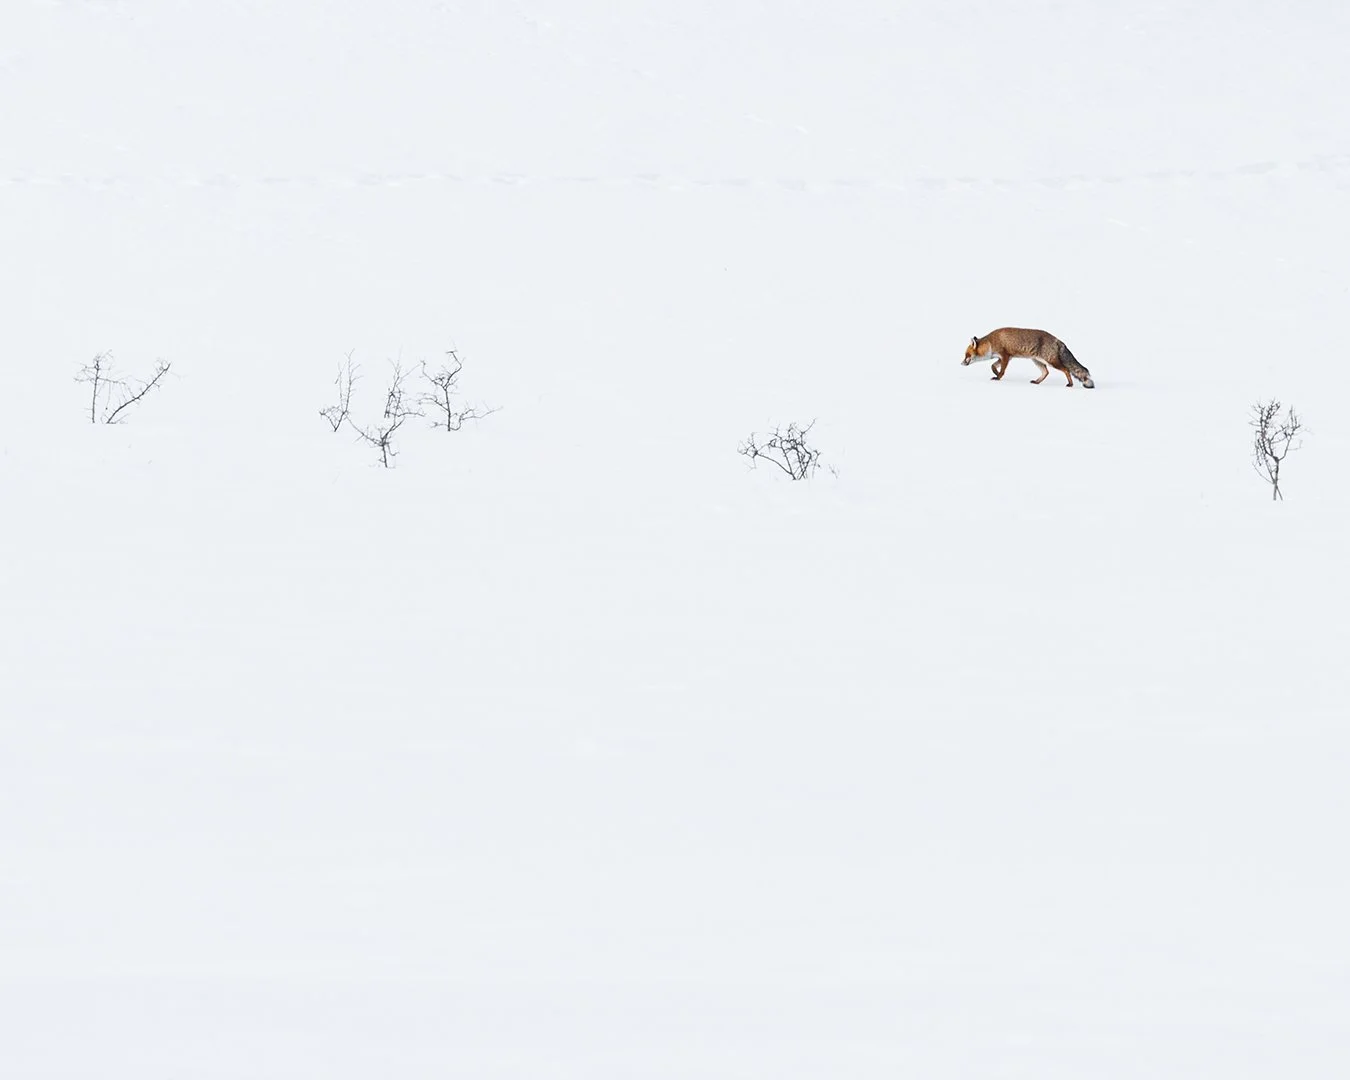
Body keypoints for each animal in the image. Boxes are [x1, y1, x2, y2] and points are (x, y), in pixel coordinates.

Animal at [962, 328, 1095, 388]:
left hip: (1051, 361)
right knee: (1046, 372)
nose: (961, 363)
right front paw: (995, 373)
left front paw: (998, 377)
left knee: (1066, 370)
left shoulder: (1005, 356)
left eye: (966, 355)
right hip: (1037, 361)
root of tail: (1057, 340)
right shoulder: (1006, 357)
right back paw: (1037, 382)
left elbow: (1002, 370)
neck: (992, 342)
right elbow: (992, 366)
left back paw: (1070, 384)